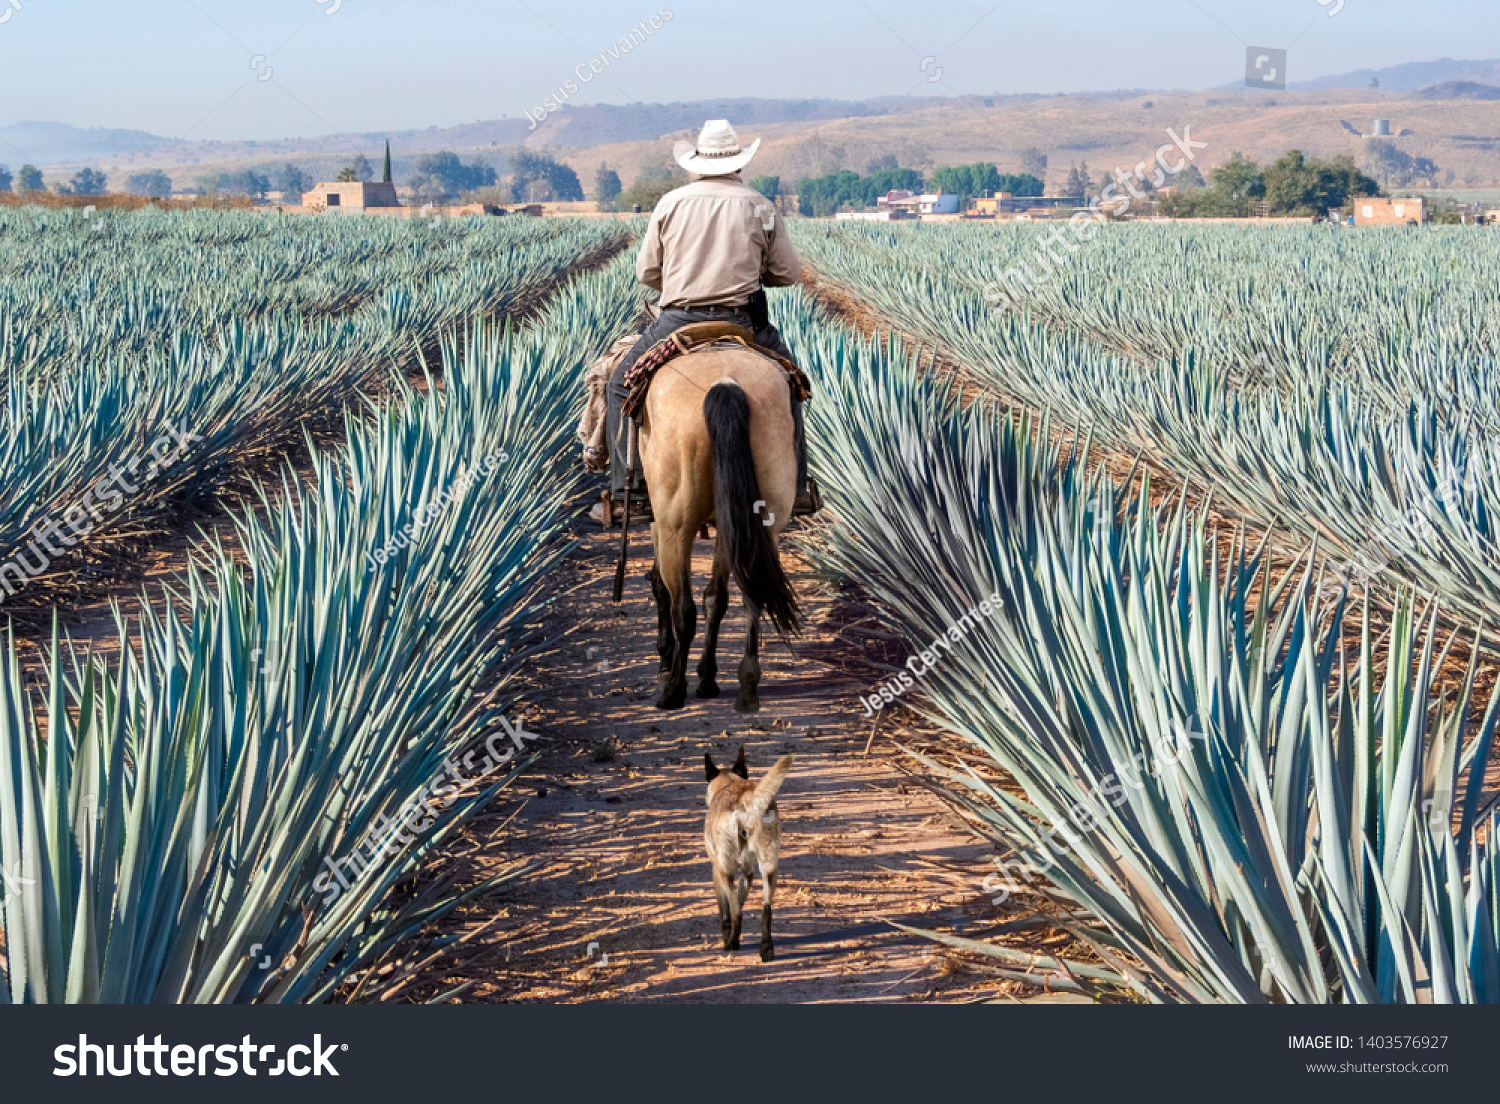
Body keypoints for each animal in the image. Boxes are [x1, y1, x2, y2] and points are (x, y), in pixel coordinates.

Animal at [639, 345, 804, 711]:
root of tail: (726, 384)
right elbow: (716, 599)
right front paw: (707, 677)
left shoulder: (661, 522)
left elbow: (661, 586)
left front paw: (665, 661)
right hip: (757, 518)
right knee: (751, 595)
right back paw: (746, 683)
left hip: (676, 523)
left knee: (683, 607)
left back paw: (673, 691)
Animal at [705, 747, 798, 960]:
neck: (729, 782)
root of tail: (746, 799)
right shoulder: (748, 873)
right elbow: (738, 902)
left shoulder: (716, 870)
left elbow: (726, 912)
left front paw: (730, 937)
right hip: (769, 869)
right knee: (766, 910)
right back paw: (766, 948)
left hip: (725, 870)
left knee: (737, 913)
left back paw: (730, 944)